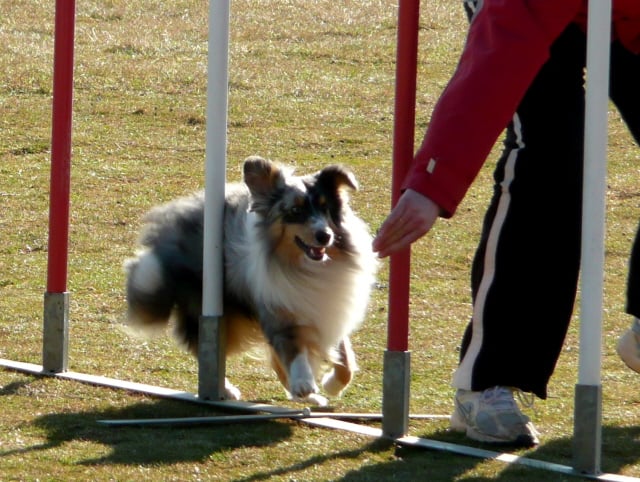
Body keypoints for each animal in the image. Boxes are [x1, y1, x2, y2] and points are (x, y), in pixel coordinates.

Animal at [122, 156, 378, 404]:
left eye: (325, 209)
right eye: (295, 210)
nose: (324, 236)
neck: (303, 267)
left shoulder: (329, 308)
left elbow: (345, 357)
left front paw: (331, 385)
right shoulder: (279, 312)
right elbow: (292, 350)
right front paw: (303, 383)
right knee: (203, 346)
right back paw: (227, 390)